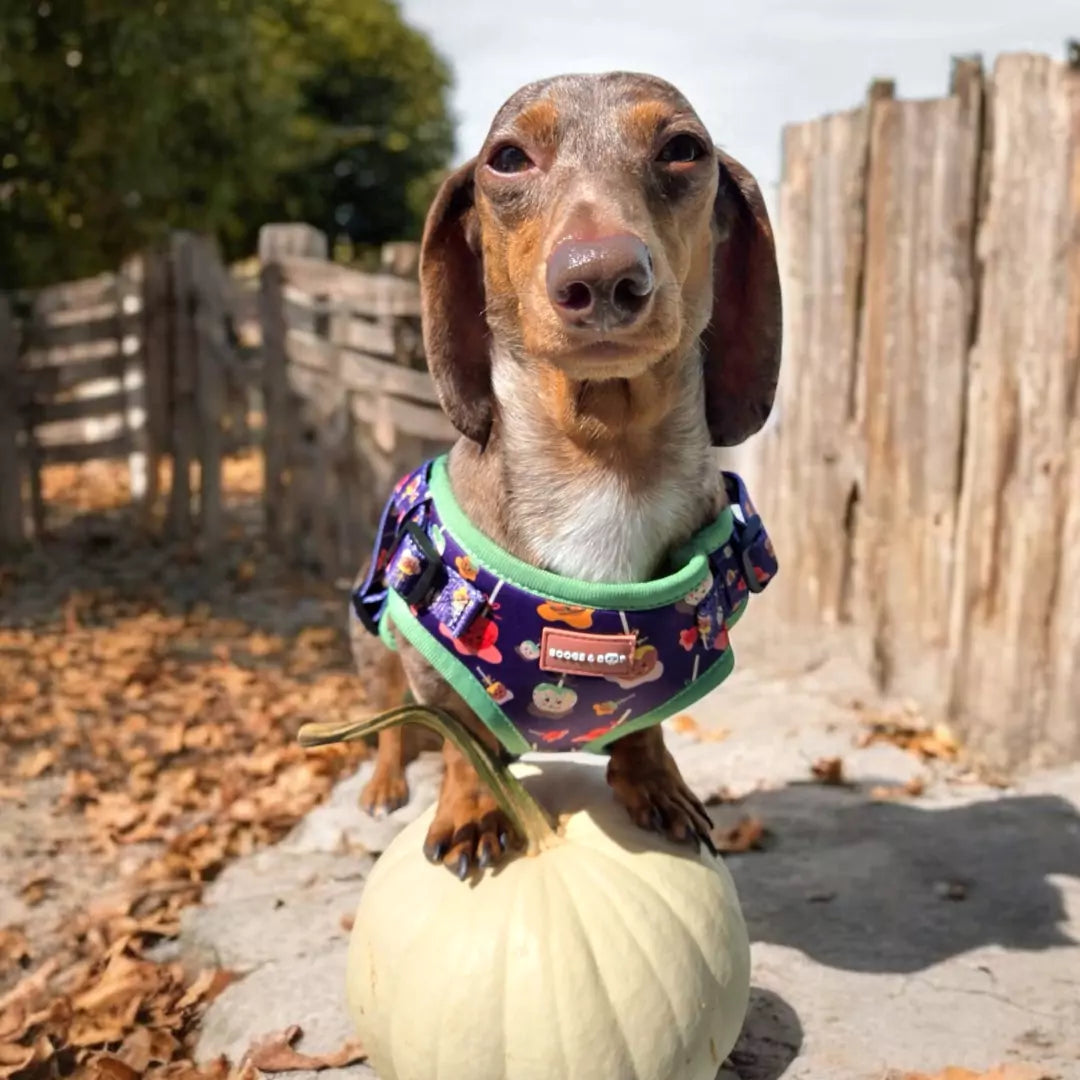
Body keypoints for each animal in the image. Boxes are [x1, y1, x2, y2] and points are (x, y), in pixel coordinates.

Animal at [349, 69, 781, 876]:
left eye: (683, 149)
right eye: (508, 159)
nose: (603, 276)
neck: (605, 459)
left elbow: (647, 722)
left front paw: (653, 779)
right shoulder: (426, 663)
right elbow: (458, 741)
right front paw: (471, 807)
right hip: (373, 648)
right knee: (393, 724)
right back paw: (388, 781)